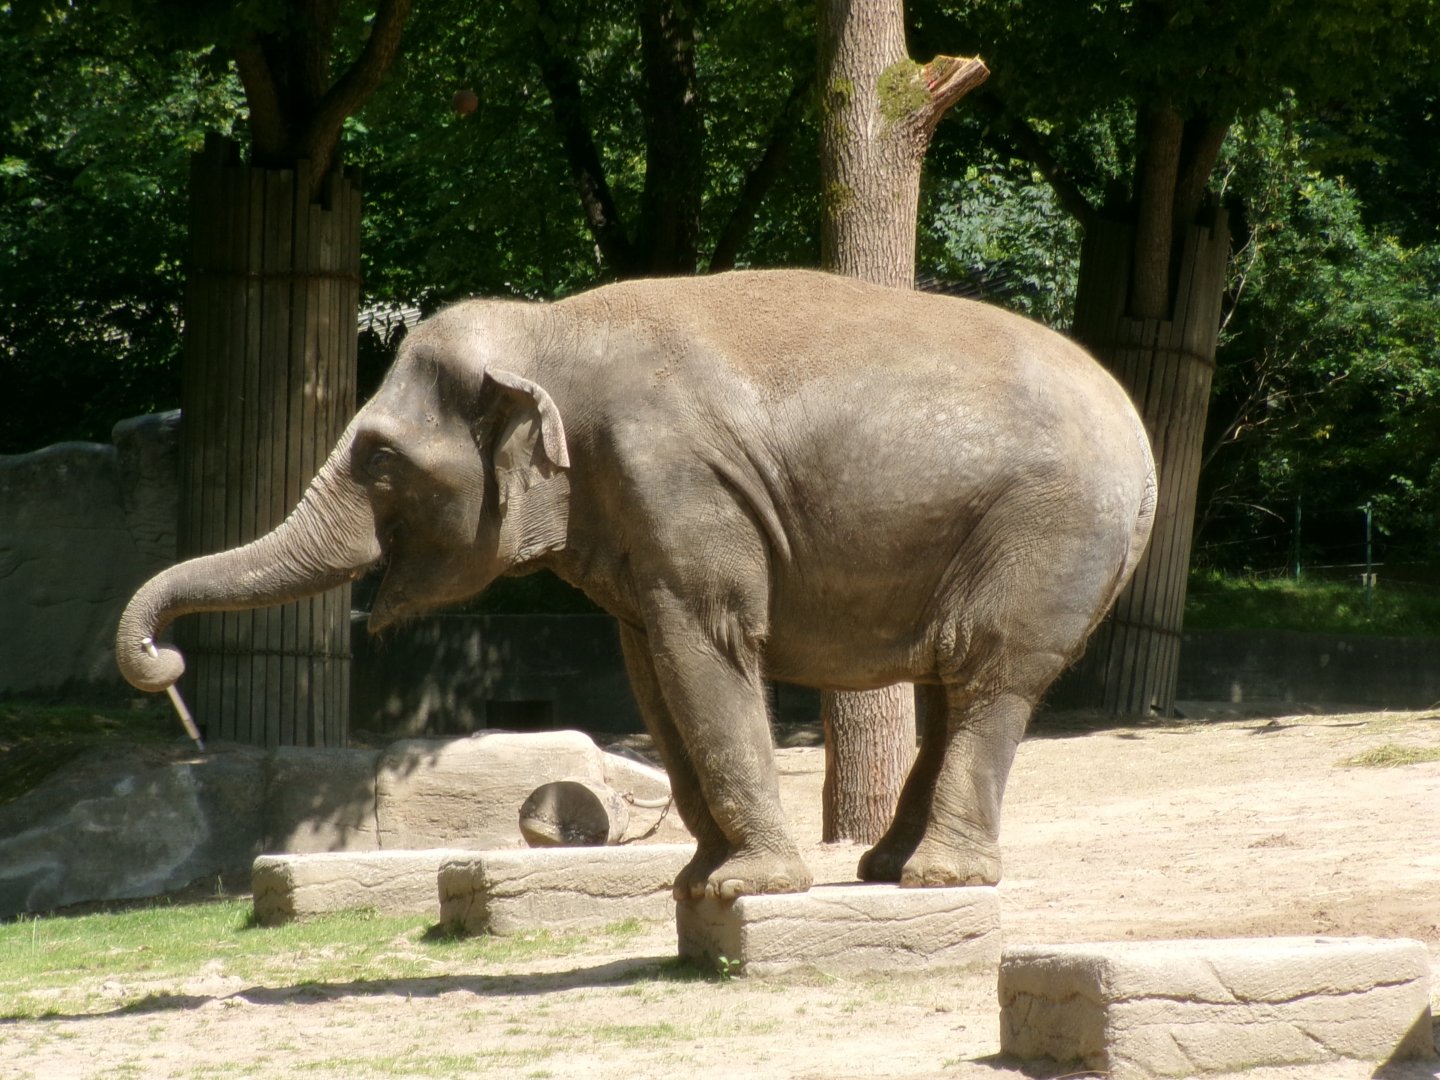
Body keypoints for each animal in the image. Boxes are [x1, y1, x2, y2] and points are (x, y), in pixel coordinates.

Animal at [118, 269, 1155, 900]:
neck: (550, 326)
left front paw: (747, 889)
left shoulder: (678, 485)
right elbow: (652, 673)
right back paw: (886, 869)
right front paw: (698, 884)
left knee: (987, 672)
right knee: (950, 682)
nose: (163, 663)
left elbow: (705, 650)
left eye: (378, 458)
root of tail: (1141, 443)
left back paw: (938, 878)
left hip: (1048, 528)